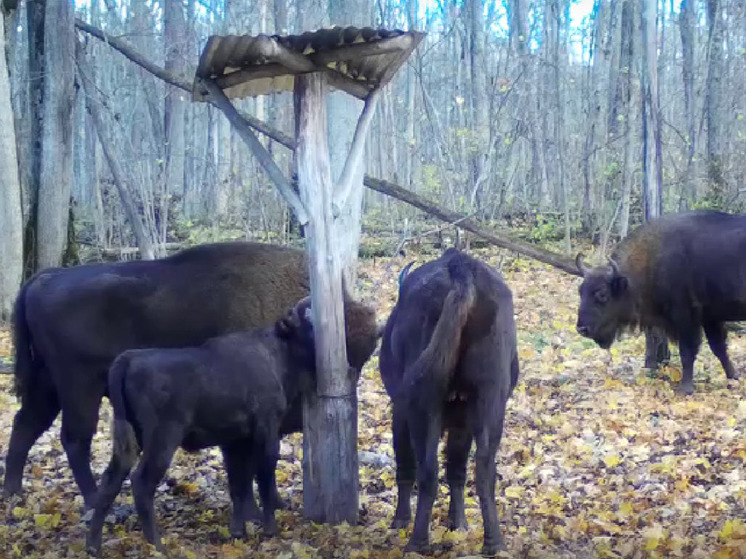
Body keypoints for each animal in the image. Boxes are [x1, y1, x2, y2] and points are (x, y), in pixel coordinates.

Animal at [4, 243, 378, 510]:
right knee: (74, 439)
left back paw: (13, 494)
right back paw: (98, 503)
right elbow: (248, 466)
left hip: (47, 386)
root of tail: (43, 279)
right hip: (80, 388)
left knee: (26, 426)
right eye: (338, 357)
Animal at [85, 298, 316, 556]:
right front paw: (270, 530)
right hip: (162, 439)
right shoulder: (266, 430)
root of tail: (128, 359)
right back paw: (158, 546)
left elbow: (239, 483)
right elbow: (263, 479)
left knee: (111, 480)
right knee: (141, 483)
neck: (276, 351)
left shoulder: (237, 441)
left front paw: (238, 531)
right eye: (308, 318)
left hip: (131, 440)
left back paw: (93, 546)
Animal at [378, 248, 516, 556]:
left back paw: (417, 542)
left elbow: (406, 464)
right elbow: (457, 469)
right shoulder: (463, 423)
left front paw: (400, 519)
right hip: (490, 399)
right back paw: (494, 542)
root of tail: (460, 267)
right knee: (484, 468)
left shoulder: (400, 411)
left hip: (422, 405)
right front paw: (459, 523)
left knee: (427, 469)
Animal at [576, 212, 744, 396]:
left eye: (602, 294)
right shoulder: (709, 318)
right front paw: (733, 378)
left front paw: (685, 389)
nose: (582, 329)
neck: (652, 258)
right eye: (580, 291)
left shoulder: (686, 319)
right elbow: (719, 348)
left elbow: (687, 353)